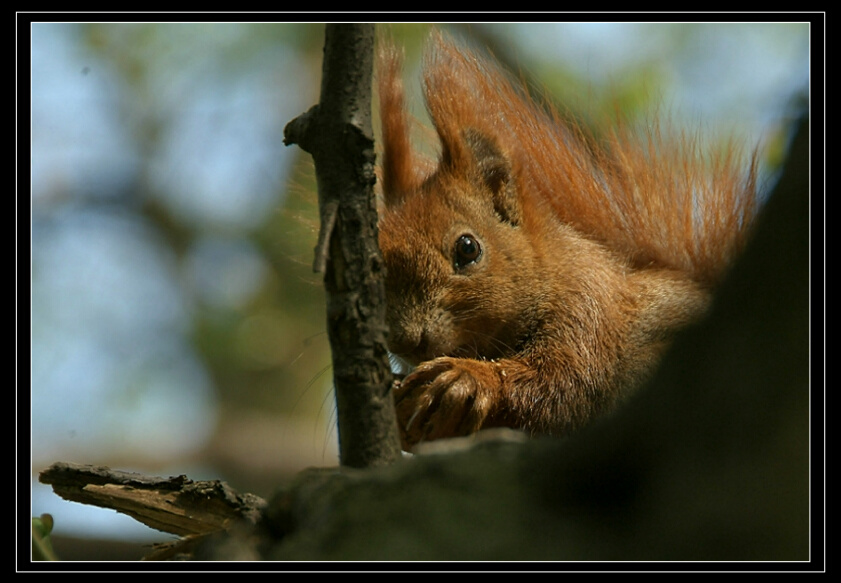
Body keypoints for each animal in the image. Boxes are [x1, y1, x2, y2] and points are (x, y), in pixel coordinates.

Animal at [378, 32, 756, 452]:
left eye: (468, 248)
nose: (408, 341)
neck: (553, 270)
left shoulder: (588, 307)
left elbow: (563, 384)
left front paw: (469, 379)